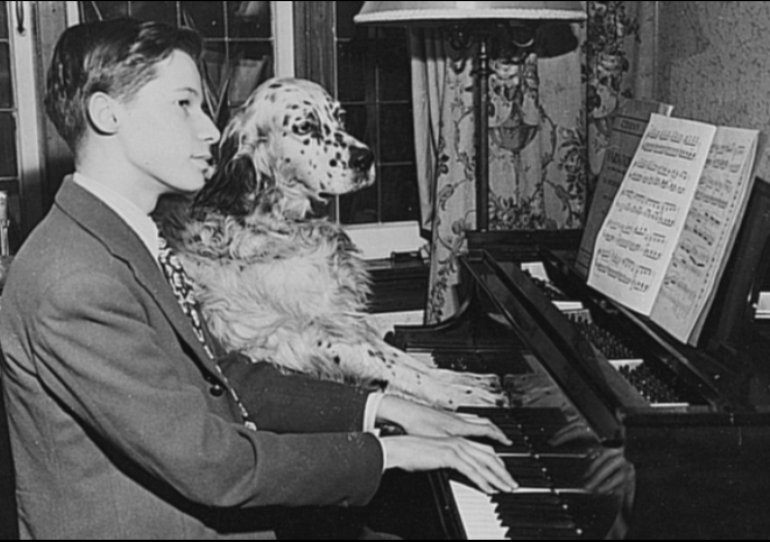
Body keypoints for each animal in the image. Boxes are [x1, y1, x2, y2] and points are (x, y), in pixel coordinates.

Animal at [159, 77, 508, 412]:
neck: (276, 224)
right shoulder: (314, 339)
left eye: (339, 116)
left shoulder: (344, 320)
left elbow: (408, 360)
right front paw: (467, 396)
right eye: (304, 127)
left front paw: (468, 380)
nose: (366, 158)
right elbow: (402, 371)